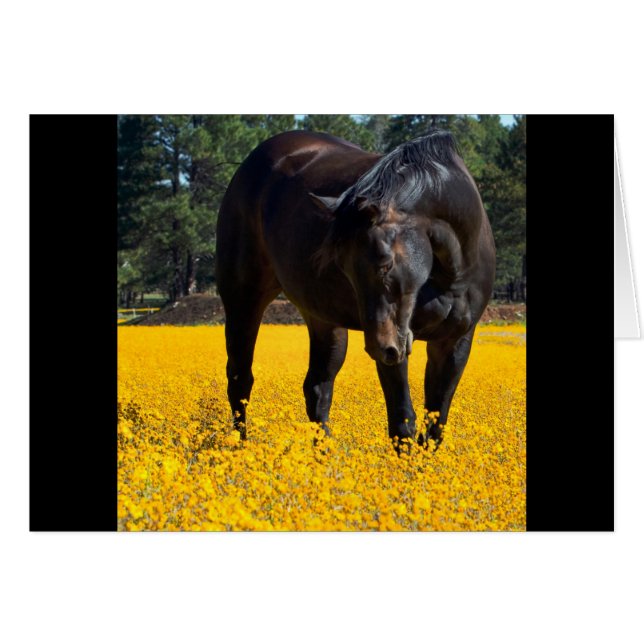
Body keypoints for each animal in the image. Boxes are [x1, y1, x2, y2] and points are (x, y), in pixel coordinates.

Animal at [215, 129, 495, 448]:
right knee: (240, 379)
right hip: (244, 299)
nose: (378, 347)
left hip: (324, 321)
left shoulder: (454, 342)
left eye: (386, 262)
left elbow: (435, 428)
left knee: (317, 388)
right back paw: (240, 446)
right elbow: (403, 422)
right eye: (343, 266)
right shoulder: (396, 346)